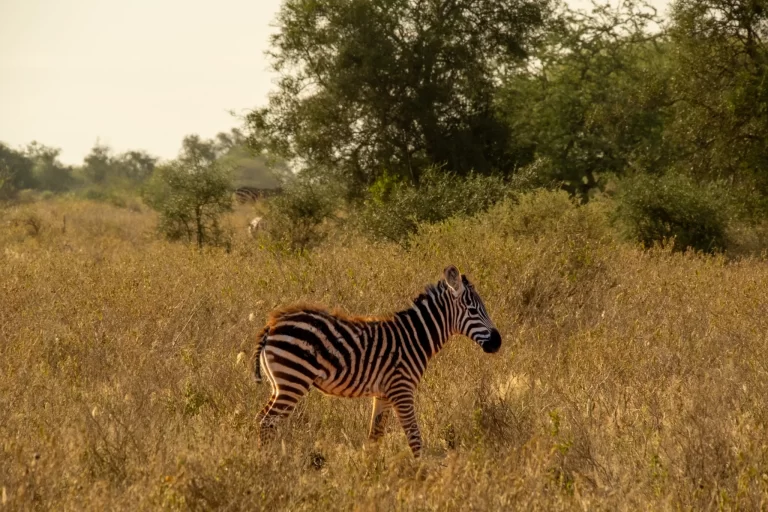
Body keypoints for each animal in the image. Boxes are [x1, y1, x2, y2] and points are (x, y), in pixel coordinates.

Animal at [249, 265, 501, 457]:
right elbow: (414, 436)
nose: (497, 342)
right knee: (267, 422)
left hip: (280, 384)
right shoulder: (402, 389)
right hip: (293, 380)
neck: (415, 338)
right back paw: (269, 465)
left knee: (261, 419)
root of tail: (271, 325)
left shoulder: (383, 394)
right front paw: (421, 473)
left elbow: (375, 436)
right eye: (472, 310)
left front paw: (371, 471)